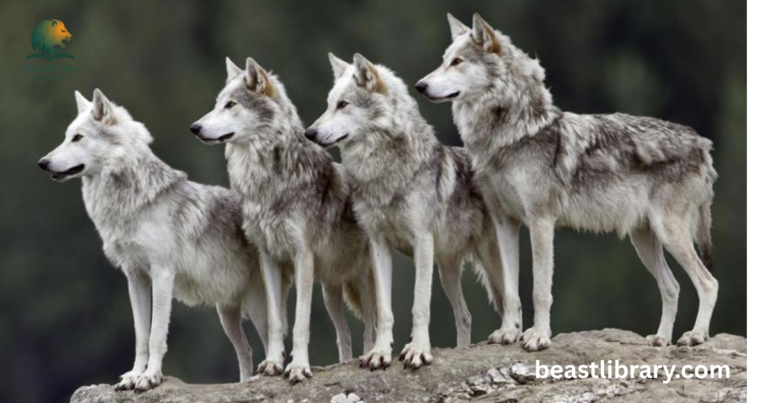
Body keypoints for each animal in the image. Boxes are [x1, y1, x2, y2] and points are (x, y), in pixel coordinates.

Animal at [37, 89, 272, 391]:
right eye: (66, 136)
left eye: (77, 137)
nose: (42, 163)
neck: (131, 204)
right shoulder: (135, 277)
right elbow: (141, 336)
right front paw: (133, 376)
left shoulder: (161, 274)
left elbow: (156, 334)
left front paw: (150, 377)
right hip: (227, 314)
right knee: (247, 351)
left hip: (256, 307)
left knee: (272, 342)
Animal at [191, 58, 377, 383]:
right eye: (216, 104)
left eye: (231, 105)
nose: (195, 127)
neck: (267, 182)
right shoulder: (269, 258)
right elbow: (276, 322)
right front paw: (273, 363)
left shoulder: (302, 257)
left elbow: (301, 322)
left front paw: (299, 367)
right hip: (331, 291)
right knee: (344, 332)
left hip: (361, 280)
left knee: (371, 324)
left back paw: (369, 357)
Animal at [306, 53, 521, 370]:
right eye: (328, 103)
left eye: (343, 104)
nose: (309, 132)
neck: (384, 175)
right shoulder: (379, 245)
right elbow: (384, 310)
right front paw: (380, 353)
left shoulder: (422, 242)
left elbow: (419, 305)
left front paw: (418, 351)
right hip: (446, 271)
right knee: (465, 315)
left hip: (488, 261)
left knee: (511, 300)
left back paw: (512, 335)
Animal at [416, 13, 718, 350]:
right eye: (444, 60)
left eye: (457, 61)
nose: (420, 85)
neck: (510, 136)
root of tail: (701, 143)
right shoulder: (505, 223)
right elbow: (510, 291)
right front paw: (509, 333)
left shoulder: (541, 221)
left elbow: (539, 290)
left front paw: (538, 337)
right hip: (644, 240)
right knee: (672, 287)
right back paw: (661, 339)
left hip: (670, 234)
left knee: (708, 282)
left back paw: (696, 336)